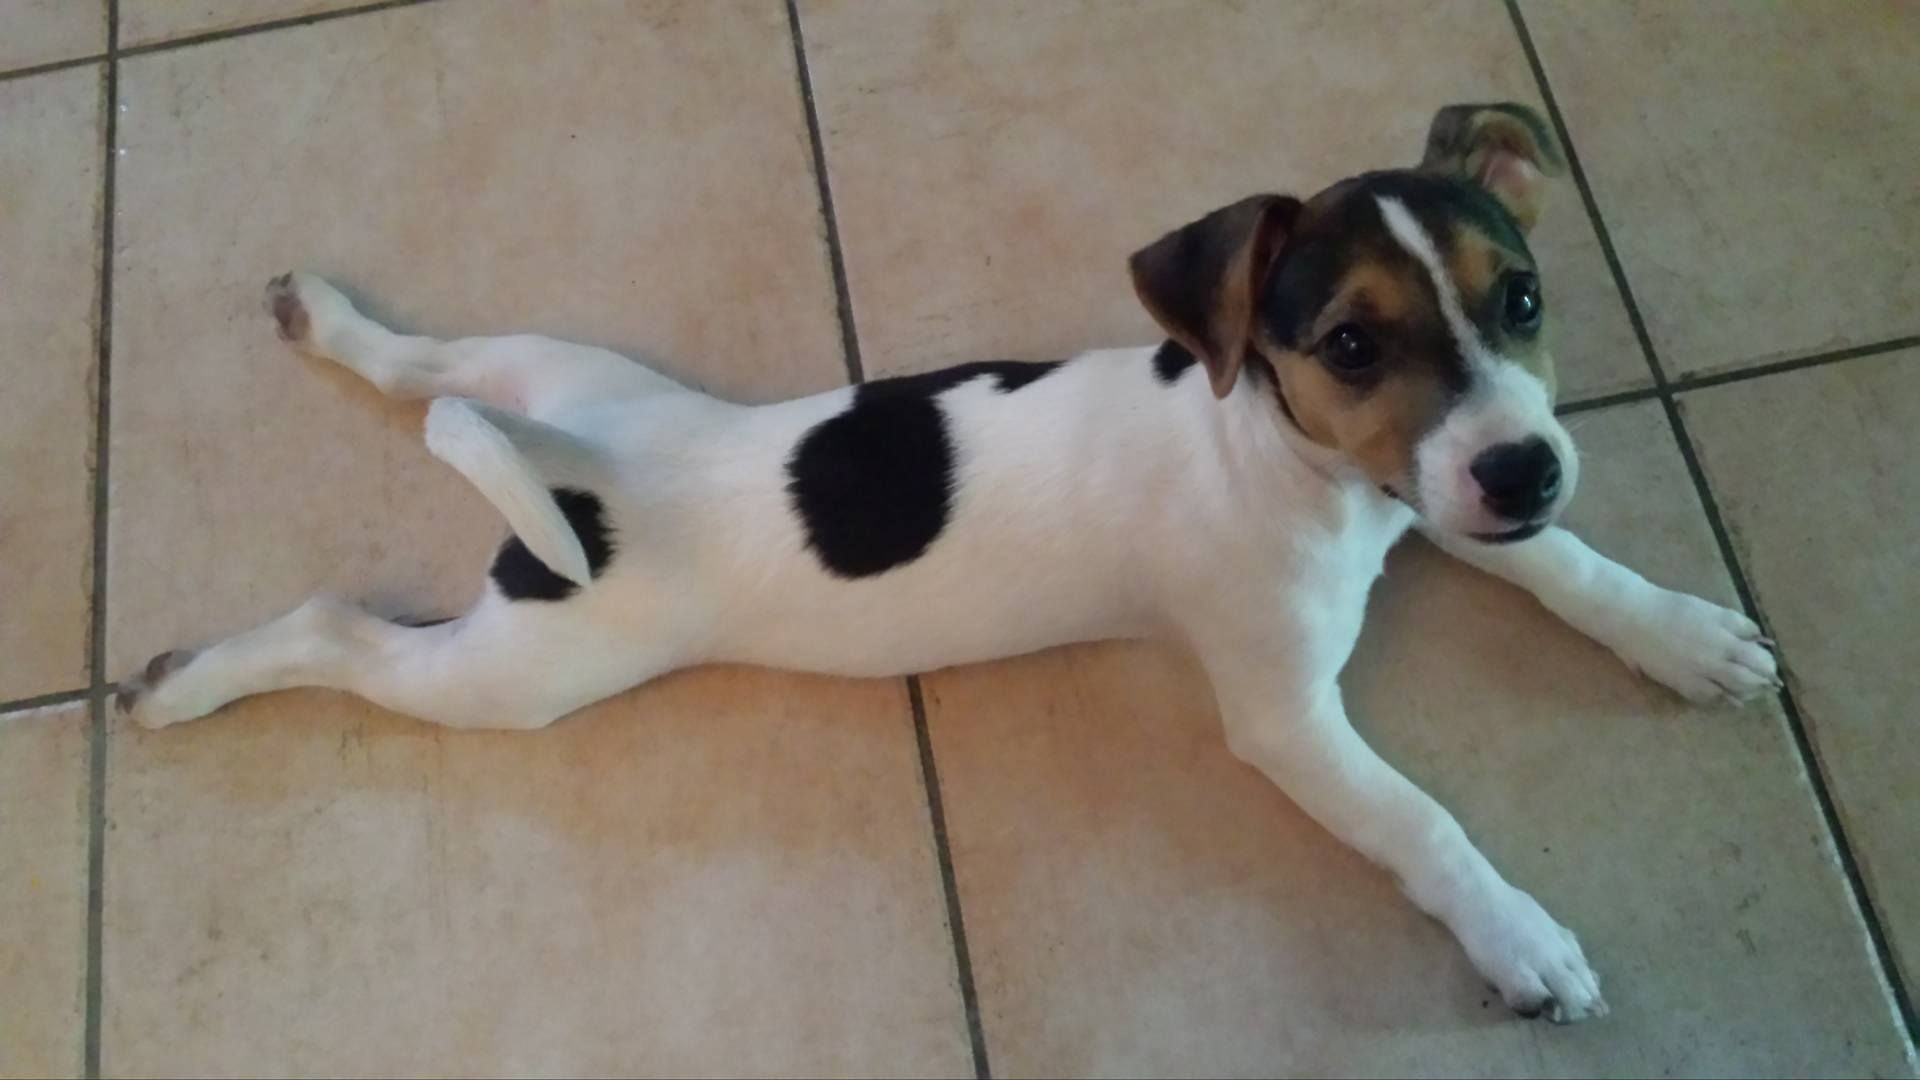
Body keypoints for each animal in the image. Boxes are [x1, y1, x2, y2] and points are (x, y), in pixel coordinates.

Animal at [120, 105, 1774, 1022]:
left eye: (1522, 297)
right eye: (1353, 344)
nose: (1527, 465)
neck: (1280, 451)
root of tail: (575, 487)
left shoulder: (1436, 498)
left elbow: (1564, 568)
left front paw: (1681, 630)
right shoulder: (1290, 716)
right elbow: (1420, 820)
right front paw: (1519, 936)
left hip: (550, 369)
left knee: (423, 371)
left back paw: (326, 320)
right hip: (519, 671)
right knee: (340, 631)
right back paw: (185, 681)